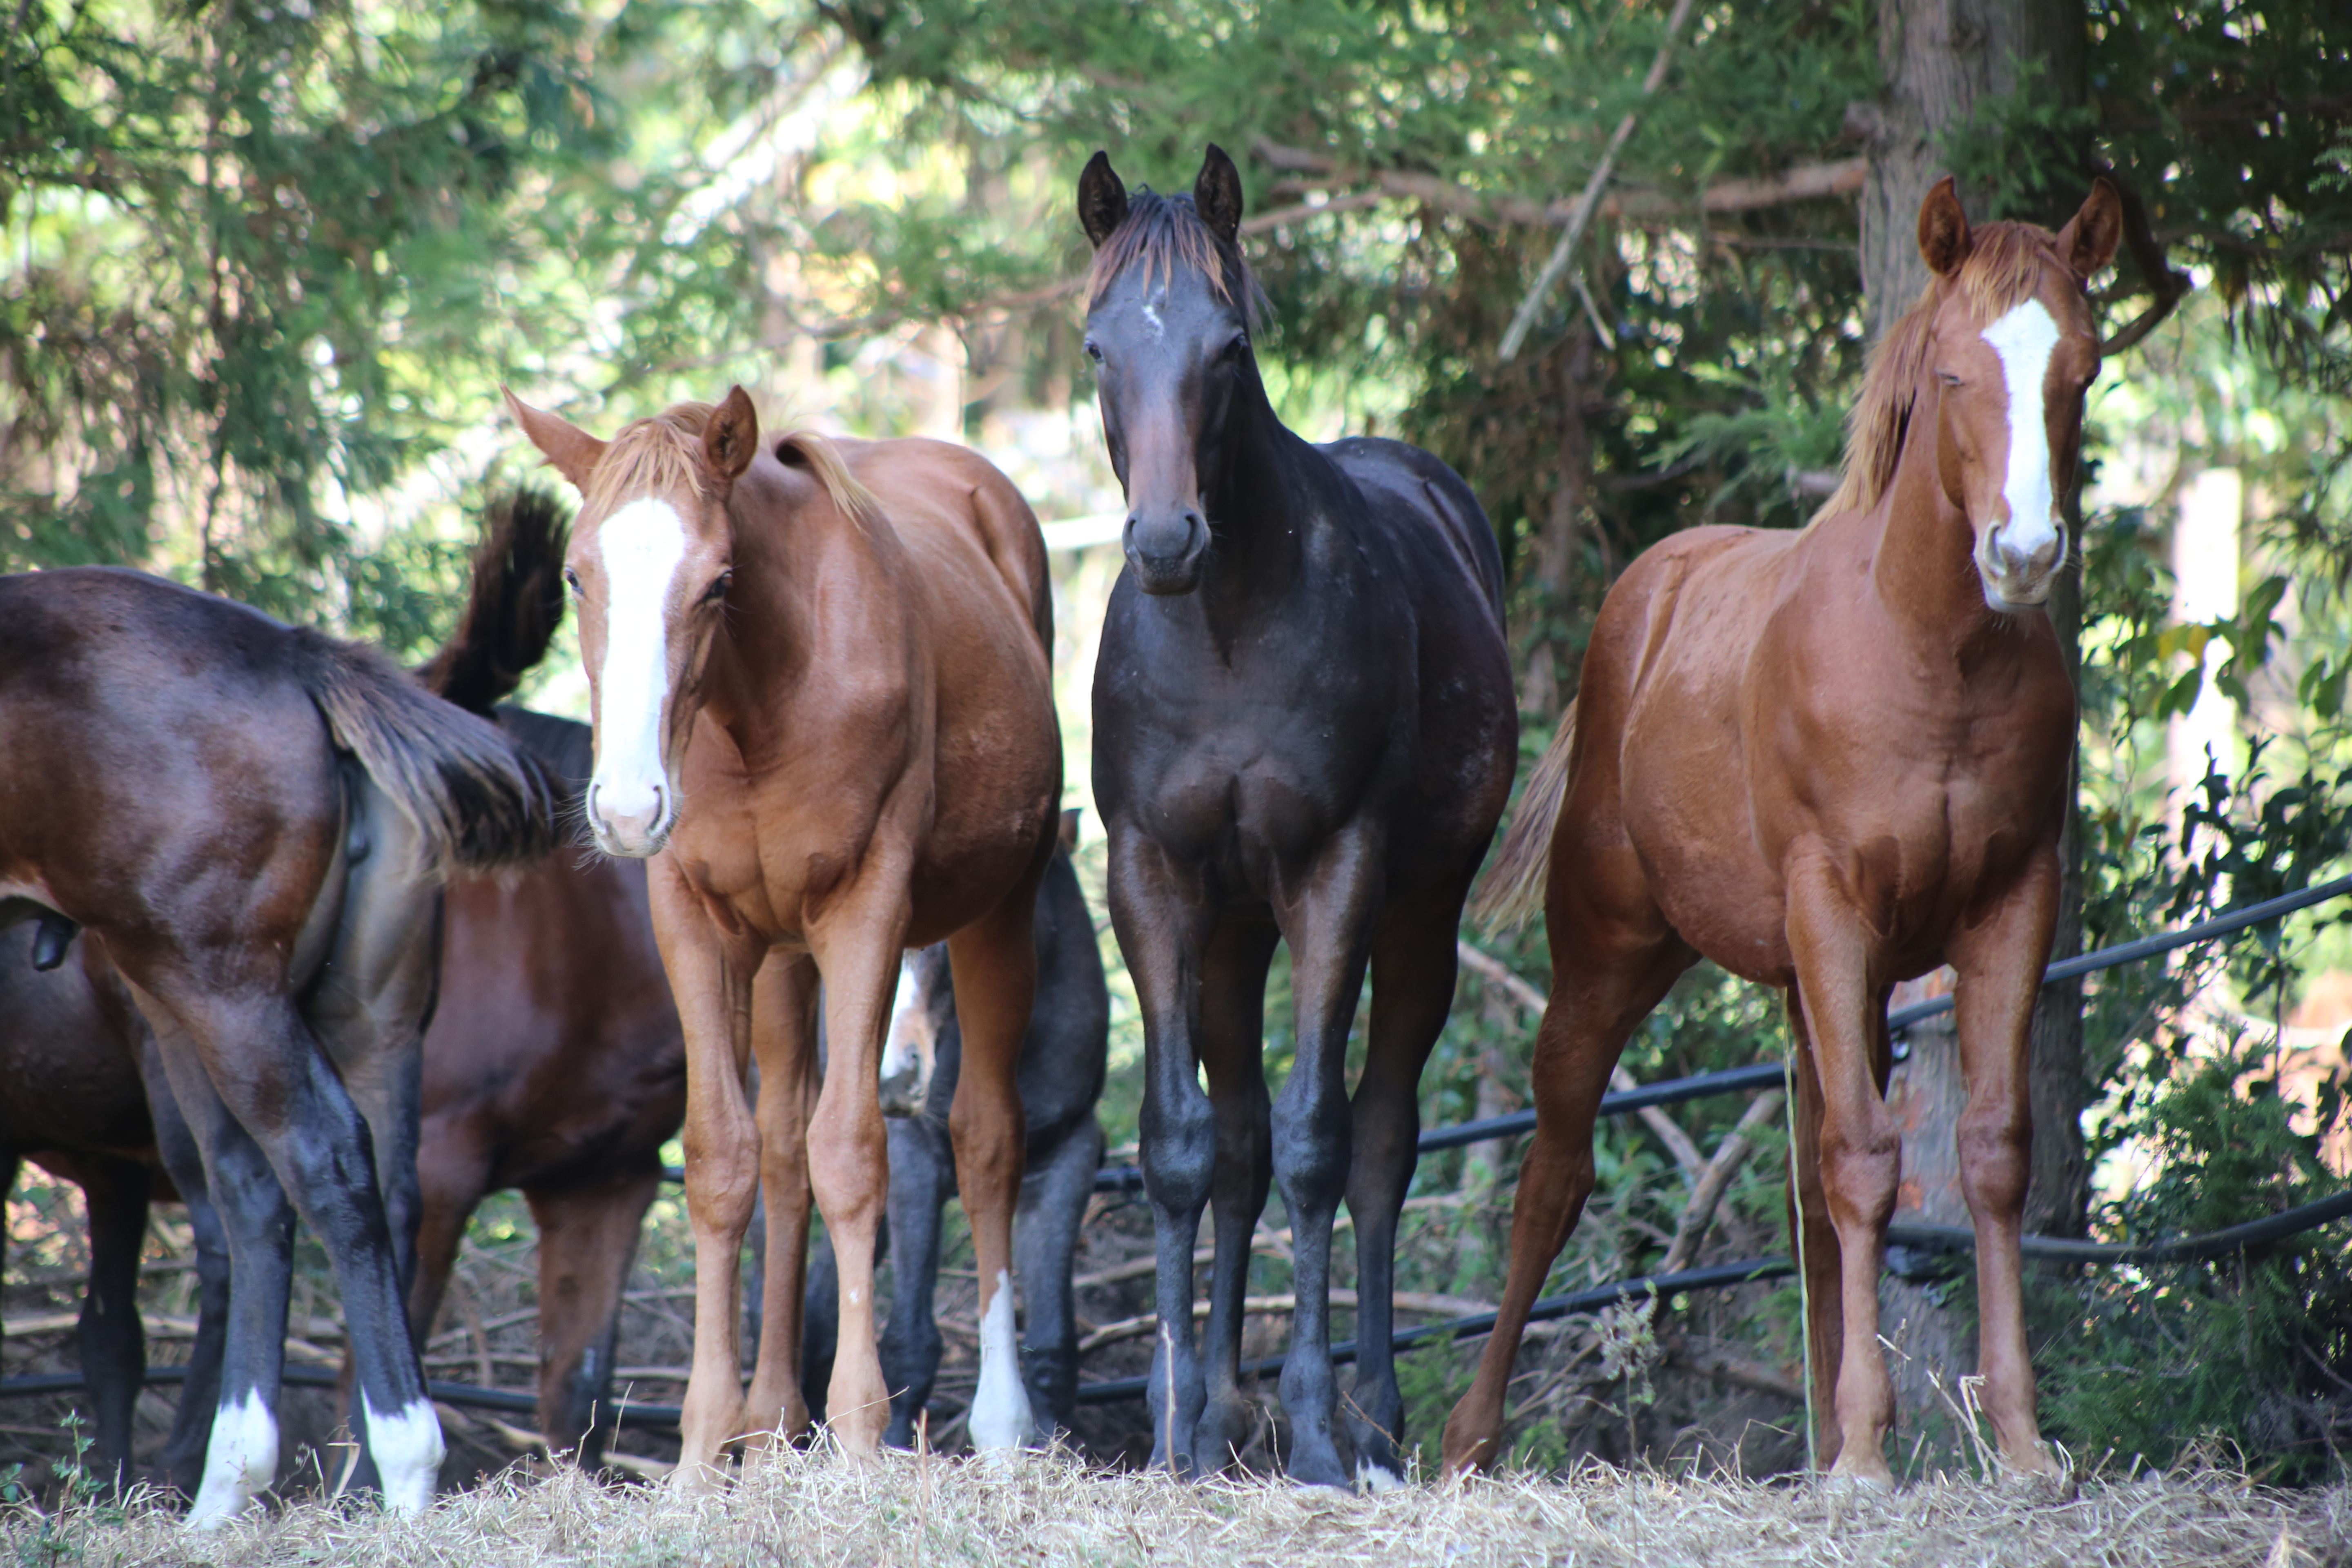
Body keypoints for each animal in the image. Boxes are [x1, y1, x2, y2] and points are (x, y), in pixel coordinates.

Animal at [512, 385, 1068, 1476]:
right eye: (576, 574)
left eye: (719, 581)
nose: (629, 806)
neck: (753, 711)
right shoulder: (696, 921)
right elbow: (726, 1161)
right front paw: (700, 1451)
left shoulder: (867, 911)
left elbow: (851, 1152)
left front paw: (857, 1435)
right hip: (779, 960)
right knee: (779, 1151)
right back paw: (769, 1423)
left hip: (999, 916)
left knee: (985, 1138)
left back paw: (999, 1423)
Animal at [800, 818, 1110, 1457]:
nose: (892, 1075)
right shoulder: (912, 1152)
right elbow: (911, 1338)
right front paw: (894, 1444)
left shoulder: (1069, 1155)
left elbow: (1053, 1339)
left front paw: (1049, 1443)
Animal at [1077, 144, 1515, 1486]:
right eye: (1097, 347)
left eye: (1227, 346)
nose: (1166, 538)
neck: (1225, 632)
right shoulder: (1152, 877)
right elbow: (1183, 1145)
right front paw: (1177, 1423)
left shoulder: (1339, 872)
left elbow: (1324, 1142)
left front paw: (1318, 1427)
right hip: (1232, 930)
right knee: (1238, 1145)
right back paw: (1222, 1406)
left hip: (1419, 915)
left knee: (1378, 1143)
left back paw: (1372, 1416)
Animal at [1430, 181, 2136, 1486]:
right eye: (1952, 372)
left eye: (2082, 369)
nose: (2022, 554)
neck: (1929, 657)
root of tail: (1645, 595)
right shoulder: (1831, 907)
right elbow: (1864, 1160)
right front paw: (1862, 1454)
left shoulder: (2010, 908)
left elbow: (1988, 1156)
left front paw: (2013, 1441)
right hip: (1610, 953)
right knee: (1555, 1173)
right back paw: (1469, 1439)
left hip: (1817, 989)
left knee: (1809, 1186)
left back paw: (1809, 1438)